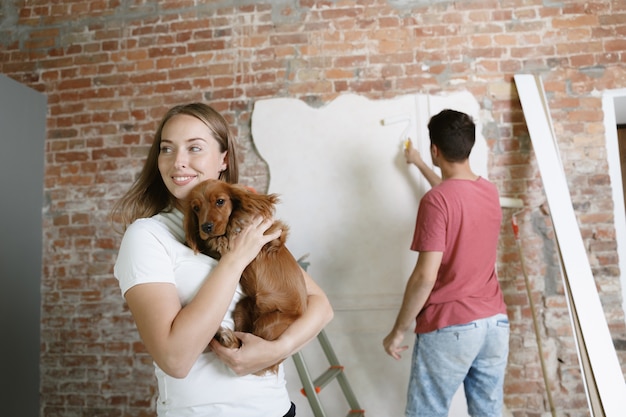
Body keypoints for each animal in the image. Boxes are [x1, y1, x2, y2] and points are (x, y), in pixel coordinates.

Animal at [182, 179, 306, 374]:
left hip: (270, 323)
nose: (205, 227)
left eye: (220, 201)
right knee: (243, 337)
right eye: (195, 208)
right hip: (242, 307)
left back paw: (226, 338)